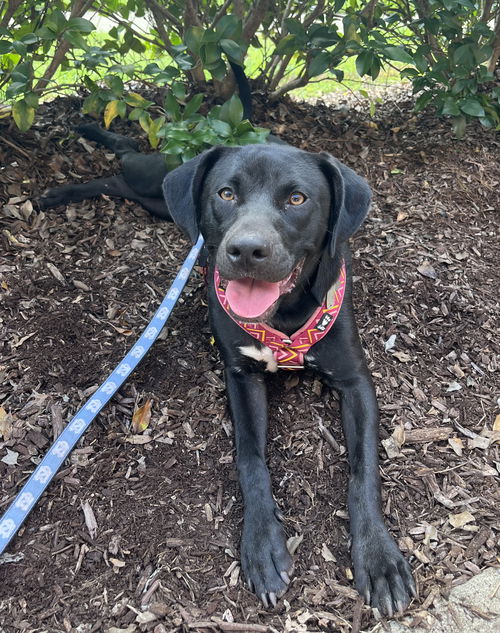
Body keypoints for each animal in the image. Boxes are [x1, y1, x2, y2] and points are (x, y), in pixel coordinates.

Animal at [39, 130, 416, 616]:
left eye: (297, 198)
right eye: (226, 193)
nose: (246, 250)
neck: (283, 316)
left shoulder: (355, 382)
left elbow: (363, 469)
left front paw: (379, 557)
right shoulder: (240, 376)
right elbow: (250, 458)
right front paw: (262, 545)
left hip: (157, 200)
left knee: (121, 179)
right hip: (161, 184)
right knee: (123, 164)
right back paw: (66, 176)